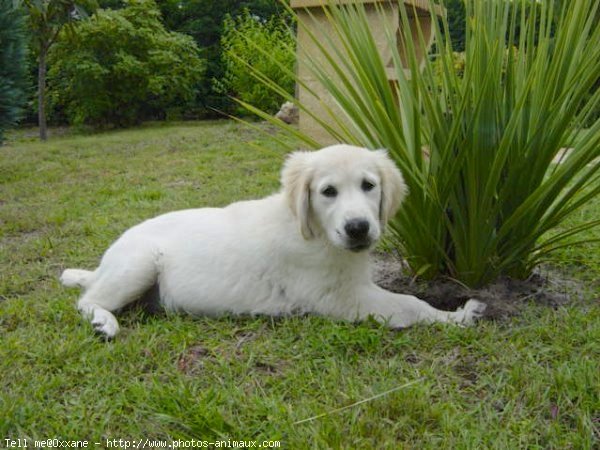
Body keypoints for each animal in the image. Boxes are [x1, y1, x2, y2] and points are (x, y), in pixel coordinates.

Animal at [61, 144, 486, 338]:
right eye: (328, 192)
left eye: (369, 185)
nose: (358, 228)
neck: (314, 231)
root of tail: (103, 263)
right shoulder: (340, 299)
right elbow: (410, 304)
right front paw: (457, 316)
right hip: (141, 261)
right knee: (87, 300)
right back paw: (104, 321)